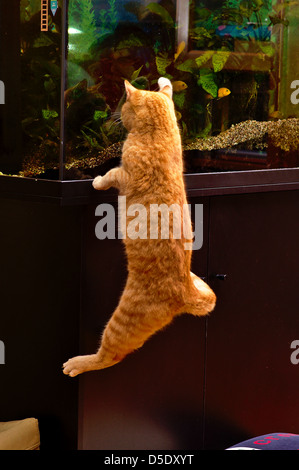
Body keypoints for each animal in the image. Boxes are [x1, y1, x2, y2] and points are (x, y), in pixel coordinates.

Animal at [63, 77, 217, 378]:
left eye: (122, 103)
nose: (114, 114)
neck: (161, 132)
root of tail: (186, 289)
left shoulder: (123, 174)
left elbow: (108, 175)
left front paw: (96, 180)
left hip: (121, 323)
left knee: (110, 356)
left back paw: (78, 363)